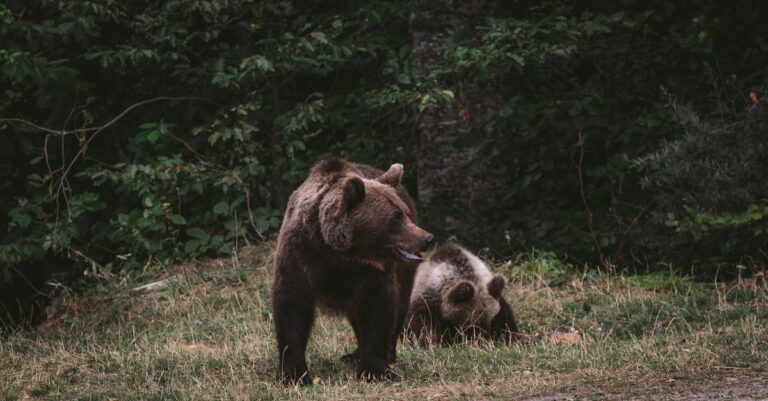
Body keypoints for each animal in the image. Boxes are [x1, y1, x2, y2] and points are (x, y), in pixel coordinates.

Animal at [272, 158, 432, 382]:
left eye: (405, 214)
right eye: (396, 217)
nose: (427, 238)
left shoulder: (370, 272)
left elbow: (377, 309)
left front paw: (373, 370)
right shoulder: (300, 256)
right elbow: (291, 308)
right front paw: (294, 374)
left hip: (404, 272)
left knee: (399, 306)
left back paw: (384, 356)